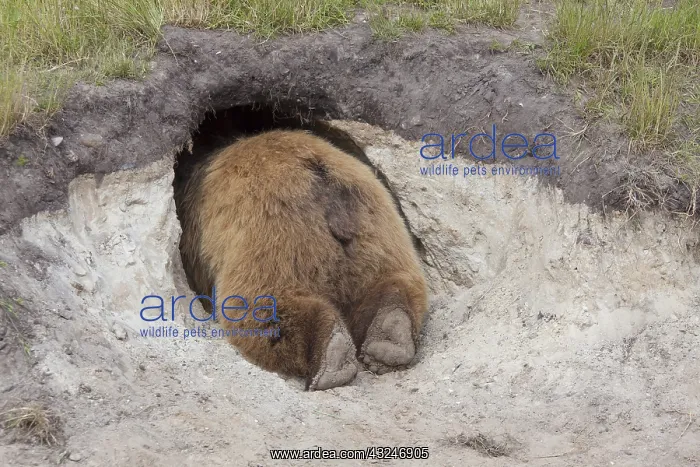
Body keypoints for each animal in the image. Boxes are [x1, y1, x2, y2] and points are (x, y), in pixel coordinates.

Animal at [176, 129, 429, 390]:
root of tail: (324, 183)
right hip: (377, 233)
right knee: (391, 280)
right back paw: (390, 334)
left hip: (273, 234)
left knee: (261, 308)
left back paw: (333, 355)